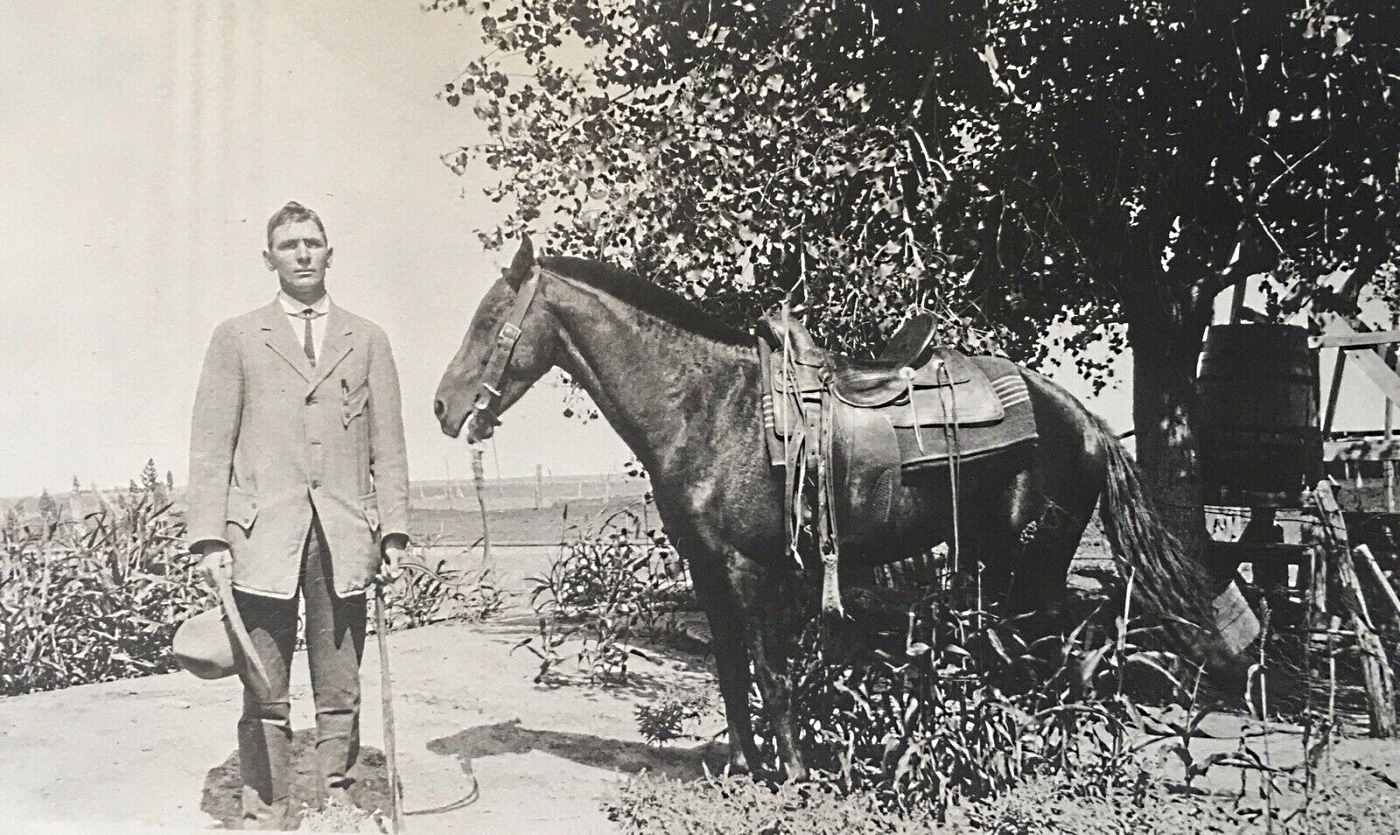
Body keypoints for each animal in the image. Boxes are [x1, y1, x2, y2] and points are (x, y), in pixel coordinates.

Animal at [434, 236, 1241, 781]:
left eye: (488, 323)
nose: (443, 407)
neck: (706, 408)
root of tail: (1085, 421)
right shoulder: (708, 572)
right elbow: (731, 671)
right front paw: (743, 767)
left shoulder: (749, 571)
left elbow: (770, 670)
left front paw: (792, 772)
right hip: (991, 559)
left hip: (1033, 562)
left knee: (1068, 653)